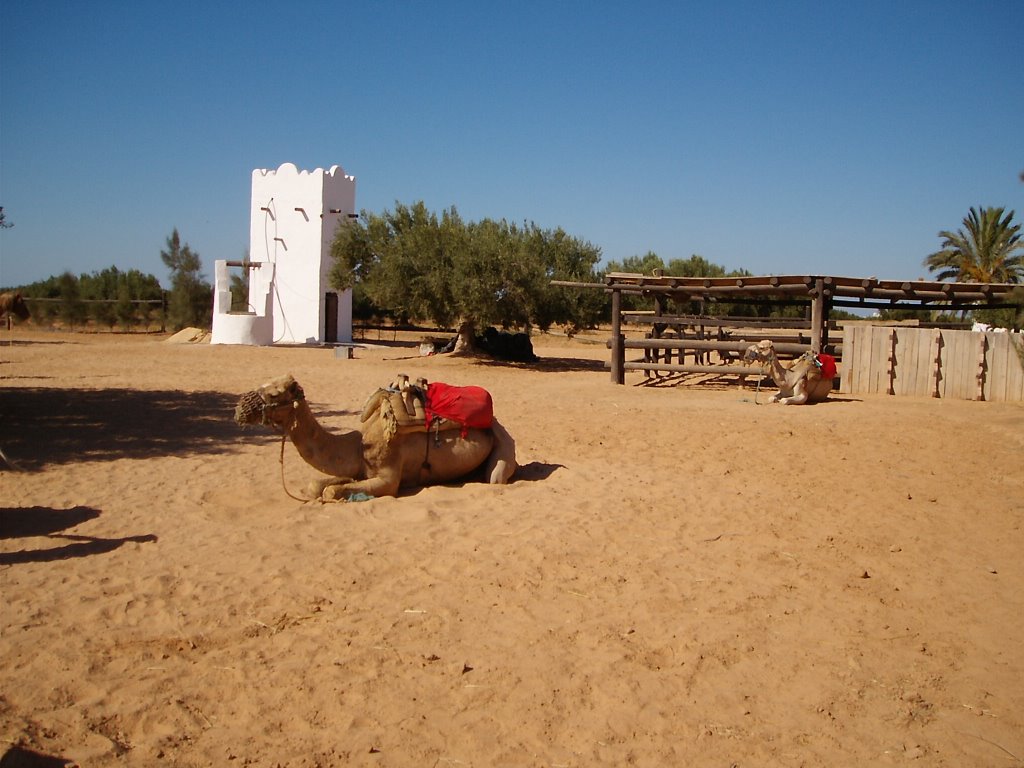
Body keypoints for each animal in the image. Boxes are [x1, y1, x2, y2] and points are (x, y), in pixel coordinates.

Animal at [235, 374, 516, 505]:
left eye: (275, 393)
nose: (240, 408)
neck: (359, 445)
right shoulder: (360, 469)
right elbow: (318, 485)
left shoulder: (388, 478)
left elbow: (331, 490)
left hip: (503, 447)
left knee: (495, 478)